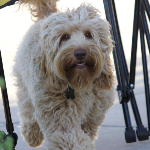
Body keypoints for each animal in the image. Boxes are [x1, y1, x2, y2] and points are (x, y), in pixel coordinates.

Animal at [13, 0, 115, 149]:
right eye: (65, 37)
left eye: (89, 34)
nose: (80, 53)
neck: (79, 82)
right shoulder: (57, 114)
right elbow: (69, 138)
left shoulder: (95, 112)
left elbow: (87, 130)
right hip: (25, 84)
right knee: (26, 108)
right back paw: (32, 135)